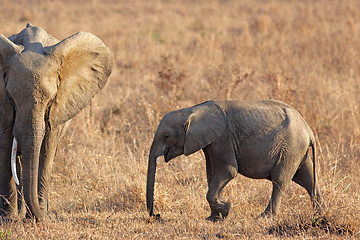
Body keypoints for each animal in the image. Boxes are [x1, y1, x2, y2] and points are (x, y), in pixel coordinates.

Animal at [0, 23, 112, 221]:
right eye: (11, 98)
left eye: (51, 100)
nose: (43, 217)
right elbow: (6, 146)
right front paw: (9, 220)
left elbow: (46, 151)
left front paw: (38, 218)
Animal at [146, 99, 324, 221]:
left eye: (166, 136)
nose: (157, 215)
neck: (194, 110)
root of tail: (309, 130)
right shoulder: (211, 142)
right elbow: (211, 175)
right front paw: (213, 218)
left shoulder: (222, 139)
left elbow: (228, 172)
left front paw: (226, 209)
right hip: (297, 150)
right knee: (307, 179)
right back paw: (320, 215)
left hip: (291, 148)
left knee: (280, 181)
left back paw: (265, 217)